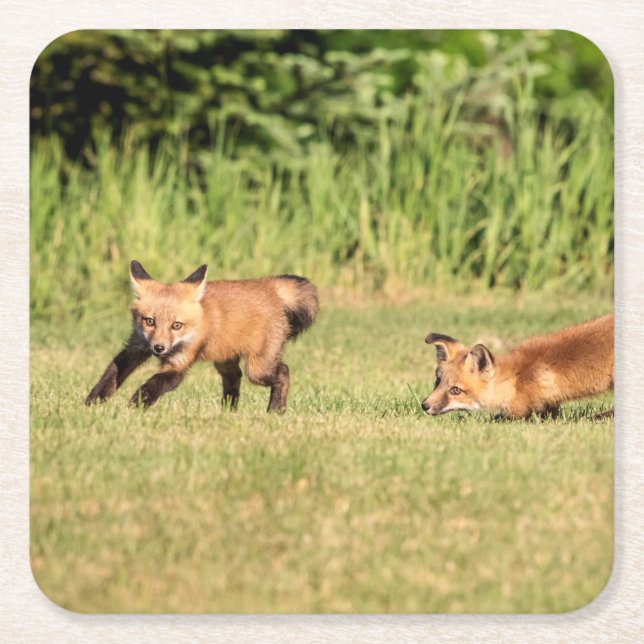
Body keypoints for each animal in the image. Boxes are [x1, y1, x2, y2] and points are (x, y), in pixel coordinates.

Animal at [85, 260, 319, 412]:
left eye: (176, 325)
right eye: (149, 321)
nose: (158, 348)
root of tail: (269, 285)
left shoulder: (179, 362)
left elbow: (156, 383)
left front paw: (137, 404)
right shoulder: (136, 346)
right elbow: (111, 374)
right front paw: (93, 402)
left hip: (258, 370)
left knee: (283, 371)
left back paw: (275, 410)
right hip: (225, 360)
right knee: (234, 379)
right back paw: (227, 412)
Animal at [421, 315, 614, 420]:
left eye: (455, 390)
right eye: (437, 382)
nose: (424, 405)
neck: (515, 379)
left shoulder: (526, 409)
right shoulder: (551, 404)